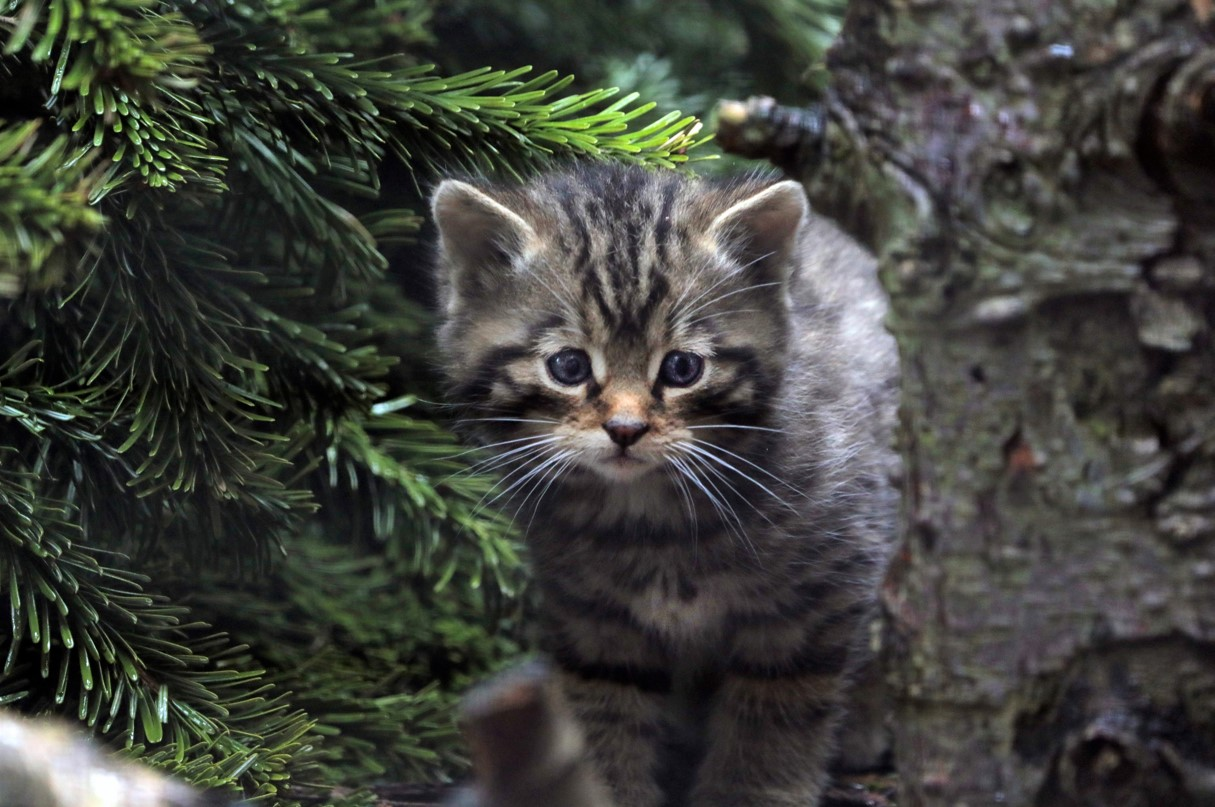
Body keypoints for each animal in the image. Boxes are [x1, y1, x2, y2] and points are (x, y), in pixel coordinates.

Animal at [432, 164, 899, 807]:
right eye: (568, 367)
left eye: (682, 369)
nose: (625, 429)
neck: (652, 521)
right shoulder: (590, 614)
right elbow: (604, 706)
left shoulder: (824, 584)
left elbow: (775, 708)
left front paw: (750, 790)